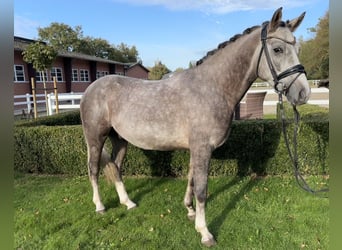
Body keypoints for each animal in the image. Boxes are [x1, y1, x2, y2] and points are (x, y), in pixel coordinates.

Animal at [80, 7, 310, 246]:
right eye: (277, 49)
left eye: (298, 49)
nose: (303, 93)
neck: (211, 88)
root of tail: (91, 88)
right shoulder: (202, 148)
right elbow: (201, 189)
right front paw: (205, 232)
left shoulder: (196, 149)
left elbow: (191, 179)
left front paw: (189, 211)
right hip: (95, 138)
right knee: (93, 169)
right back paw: (100, 206)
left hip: (120, 139)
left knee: (115, 167)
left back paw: (128, 203)